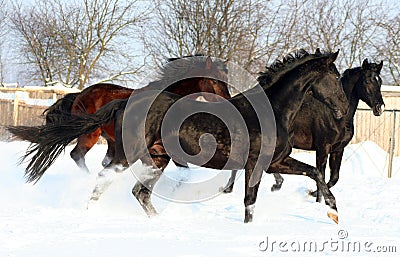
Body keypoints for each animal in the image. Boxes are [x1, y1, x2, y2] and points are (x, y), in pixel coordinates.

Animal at [7, 56, 230, 172]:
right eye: (215, 80)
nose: (227, 101)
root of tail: (80, 95)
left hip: (111, 139)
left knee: (102, 161)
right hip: (91, 134)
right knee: (77, 155)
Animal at [223, 59, 382, 197]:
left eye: (380, 81)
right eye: (367, 81)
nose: (379, 107)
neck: (335, 117)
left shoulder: (338, 149)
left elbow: (333, 178)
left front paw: (314, 194)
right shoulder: (323, 149)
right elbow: (321, 175)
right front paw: (317, 197)